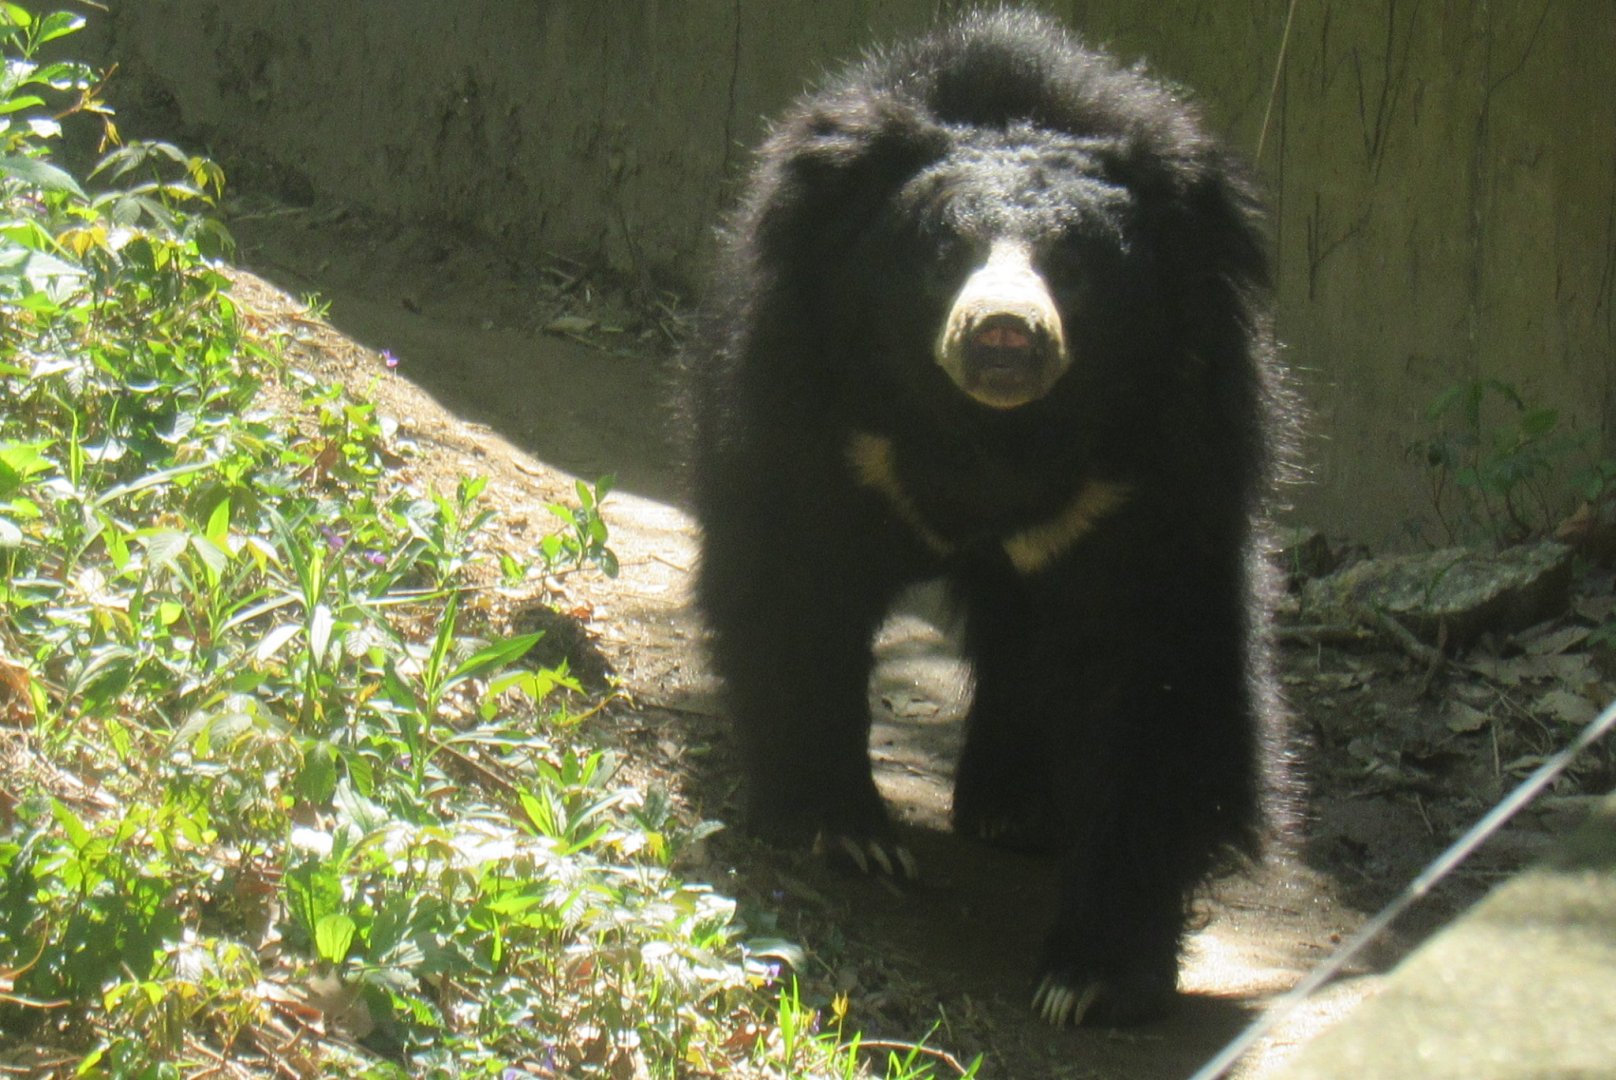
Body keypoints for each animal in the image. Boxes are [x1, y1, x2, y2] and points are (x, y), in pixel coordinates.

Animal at [683, 9, 1289, 1028]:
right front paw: (847, 830)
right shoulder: (824, 414)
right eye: (944, 256)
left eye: (1074, 268)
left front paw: (1091, 975)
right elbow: (798, 583)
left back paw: (1015, 808)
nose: (1005, 331)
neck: (991, 438)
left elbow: (1160, 673)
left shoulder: (1154, 471)